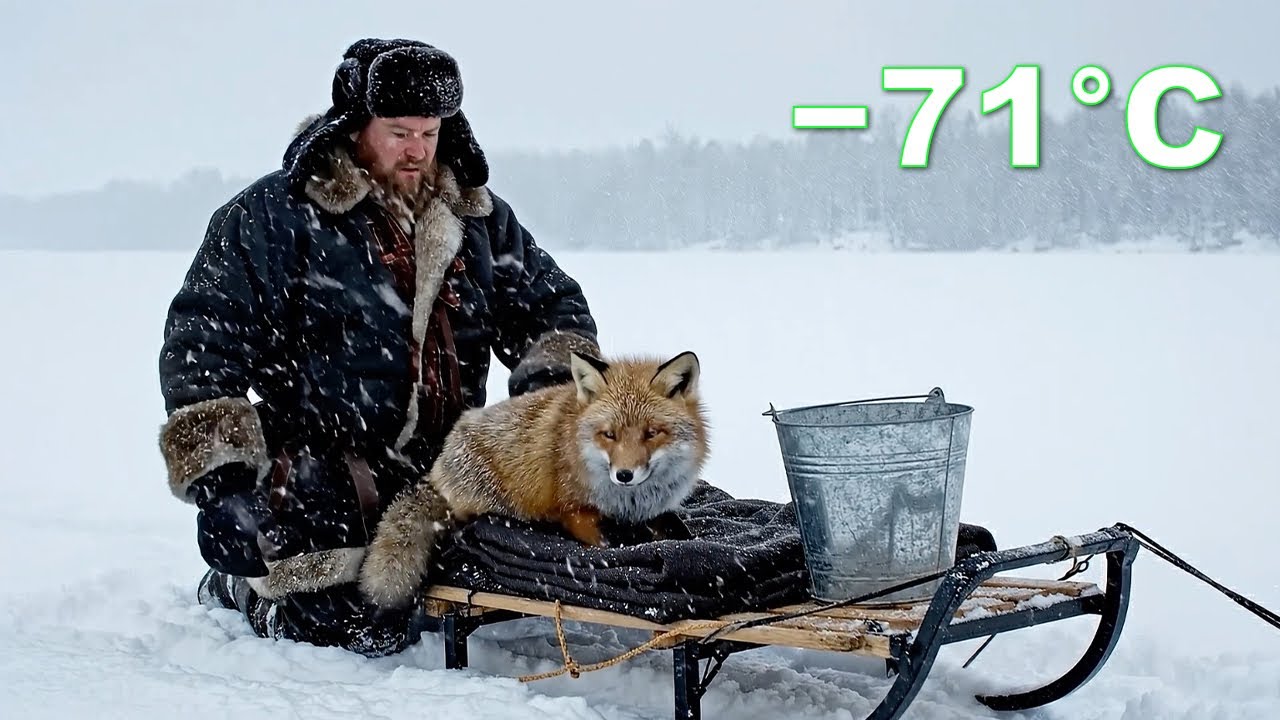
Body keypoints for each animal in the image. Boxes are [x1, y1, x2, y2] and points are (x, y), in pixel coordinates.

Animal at [358, 349, 710, 608]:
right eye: (609, 435)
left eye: (651, 433)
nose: (624, 475)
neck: (630, 503)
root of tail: (438, 465)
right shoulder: (577, 512)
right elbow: (615, 543)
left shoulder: (654, 511)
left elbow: (677, 530)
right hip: (496, 499)